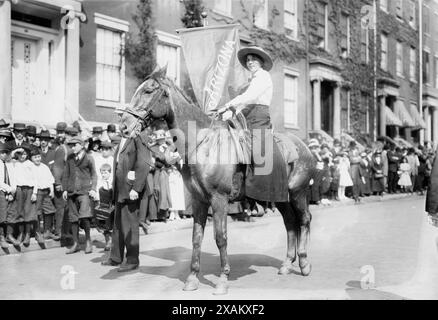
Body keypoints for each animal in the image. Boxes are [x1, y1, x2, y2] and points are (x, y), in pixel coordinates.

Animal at [123, 65, 314, 296]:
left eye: (148, 90)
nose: (124, 126)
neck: (204, 144)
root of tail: (302, 146)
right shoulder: (199, 200)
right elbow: (196, 238)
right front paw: (192, 279)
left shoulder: (219, 199)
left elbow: (220, 238)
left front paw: (223, 280)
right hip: (281, 198)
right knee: (290, 223)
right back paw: (287, 264)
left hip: (298, 193)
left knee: (304, 220)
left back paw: (304, 263)